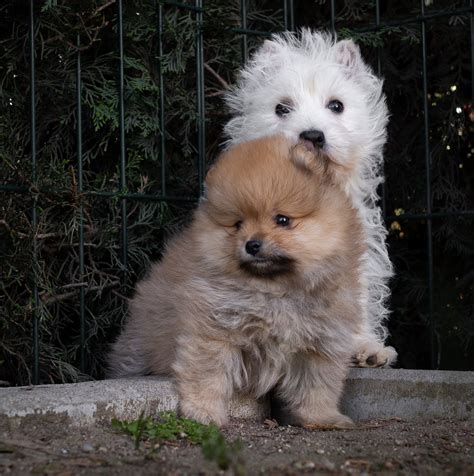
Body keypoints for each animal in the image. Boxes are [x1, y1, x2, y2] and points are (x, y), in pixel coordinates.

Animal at [108, 135, 366, 428]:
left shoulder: (321, 343)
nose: (252, 244)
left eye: (282, 220)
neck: (275, 291)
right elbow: (208, 375)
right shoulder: (214, 331)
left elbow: (317, 386)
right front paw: (203, 411)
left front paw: (322, 418)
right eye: (238, 224)